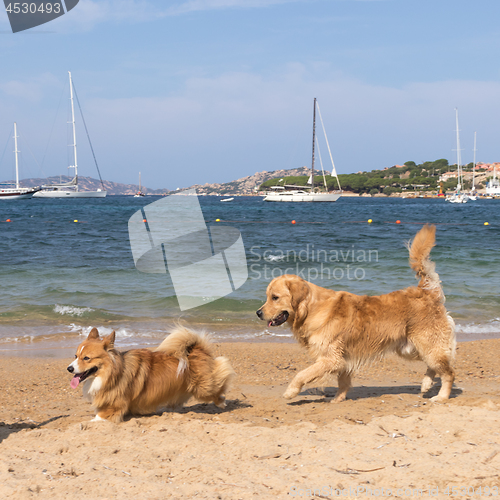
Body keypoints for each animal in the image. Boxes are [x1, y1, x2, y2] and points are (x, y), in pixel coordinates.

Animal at [66, 324, 234, 422]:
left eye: (86, 358)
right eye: (75, 356)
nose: (69, 368)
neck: (111, 373)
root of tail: (197, 349)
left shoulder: (112, 409)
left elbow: (95, 419)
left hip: (203, 388)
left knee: (219, 386)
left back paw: (222, 403)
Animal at [258, 225, 458, 404]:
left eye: (275, 297)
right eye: (267, 296)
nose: (258, 313)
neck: (312, 309)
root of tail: (426, 291)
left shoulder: (330, 358)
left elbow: (302, 373)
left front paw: (291, 391)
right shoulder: (342, 358)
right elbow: (343, 381)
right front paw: (338, 399)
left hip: (427, 344)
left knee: (448, 372)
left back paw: (441, 396)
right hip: (410, 348)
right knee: (435, 366)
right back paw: (426, 384)